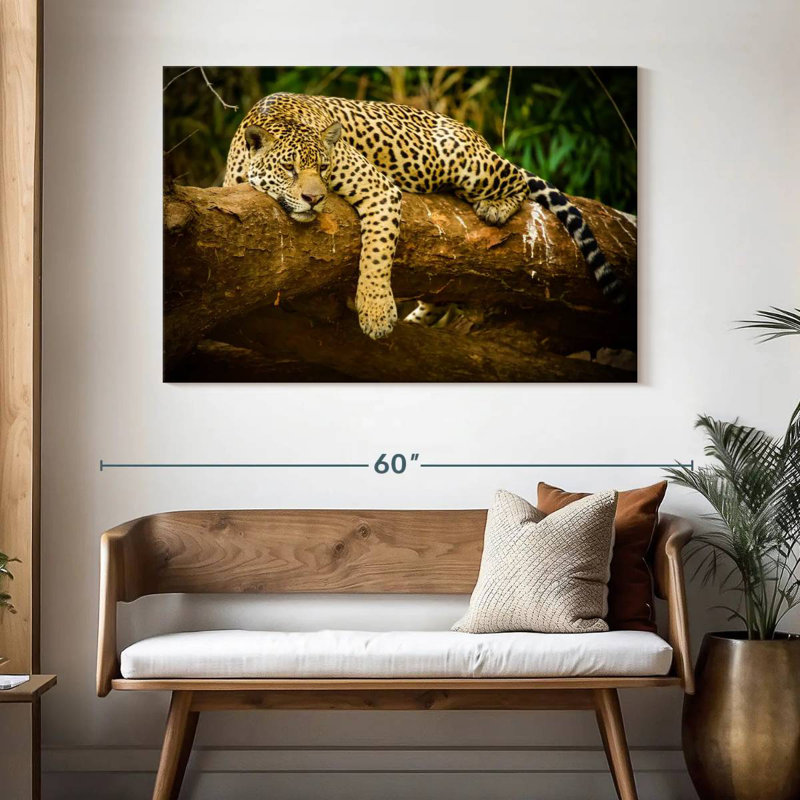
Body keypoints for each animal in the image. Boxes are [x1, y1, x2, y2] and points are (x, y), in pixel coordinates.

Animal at [224, 92, 625, 340]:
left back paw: (495, 205)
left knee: (516, 177)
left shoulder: (379, 188)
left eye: (323, 167)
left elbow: (375, 255)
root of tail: (473, 133)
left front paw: (376, 313)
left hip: (464, 161)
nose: (314, 198)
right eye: (288, 168)